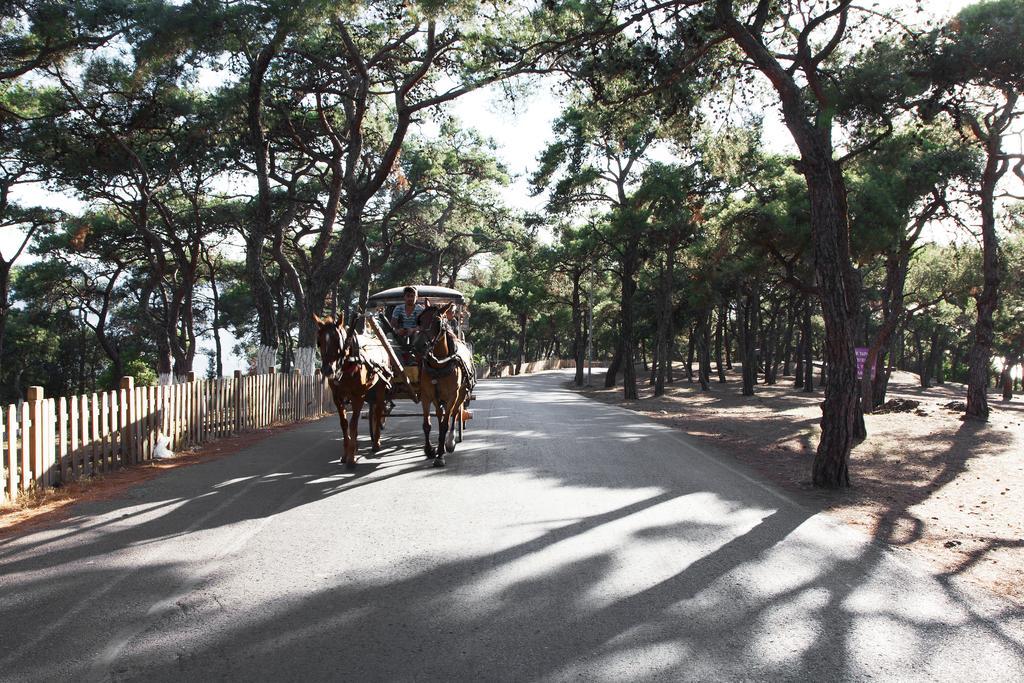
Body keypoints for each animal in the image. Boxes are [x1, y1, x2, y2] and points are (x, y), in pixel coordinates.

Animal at [313, 313, 389, 471]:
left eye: (338, 341)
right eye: (319, 342)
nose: (327, 370)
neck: (348, 364)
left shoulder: (358, 396)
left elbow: (353, 423)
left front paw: (351, 458)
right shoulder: (337, 397)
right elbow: (344, 424)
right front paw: (346, 453)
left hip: (380, 387)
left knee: (378, 411)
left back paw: (376, 443)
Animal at [417, 303, 473, 466]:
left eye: (437, 322)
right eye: (420, 320)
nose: (417, 345)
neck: (438, 365)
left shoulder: (451, 396)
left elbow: (444, 424)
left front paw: (440, 454)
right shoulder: (427, 395)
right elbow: (427, 424)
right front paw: (430, 450)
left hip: (460, 395)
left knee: (454, 415)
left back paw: (450, 441)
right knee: (440, 415)